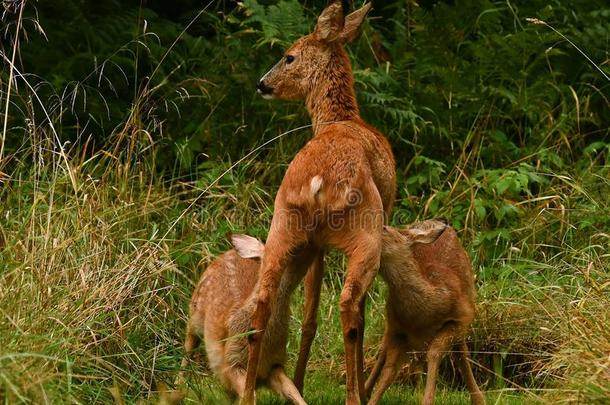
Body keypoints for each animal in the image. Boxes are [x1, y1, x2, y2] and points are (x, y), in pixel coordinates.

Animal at [167, 234, 304, 404]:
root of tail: (227, 253)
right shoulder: (231, 361)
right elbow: (249, 396)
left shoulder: (274, 364)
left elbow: (294, 392)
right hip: (194, 315)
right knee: (188, 348)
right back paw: (176, 389)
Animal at [247, 1, 394, 402]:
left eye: (289, 56)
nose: (262, 83)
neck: (340, 119)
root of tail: (317, 183)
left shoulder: (313, 244)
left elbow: (310, 315)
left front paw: (298, 382)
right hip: (365, 230)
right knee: (350, 305)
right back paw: (355, 395)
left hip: (283, 224)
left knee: (264, 301)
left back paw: (252, 392)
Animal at [360, 219, 484, 404]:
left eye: (384, 228)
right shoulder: (398, 328)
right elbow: (389, 370)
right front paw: (372, 400)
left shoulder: (460, 318)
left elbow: (434, 353)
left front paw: (427, 400)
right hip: (390, 322)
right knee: (382, 350)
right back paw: (365, 391)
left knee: (460, 353)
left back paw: (478, 398)